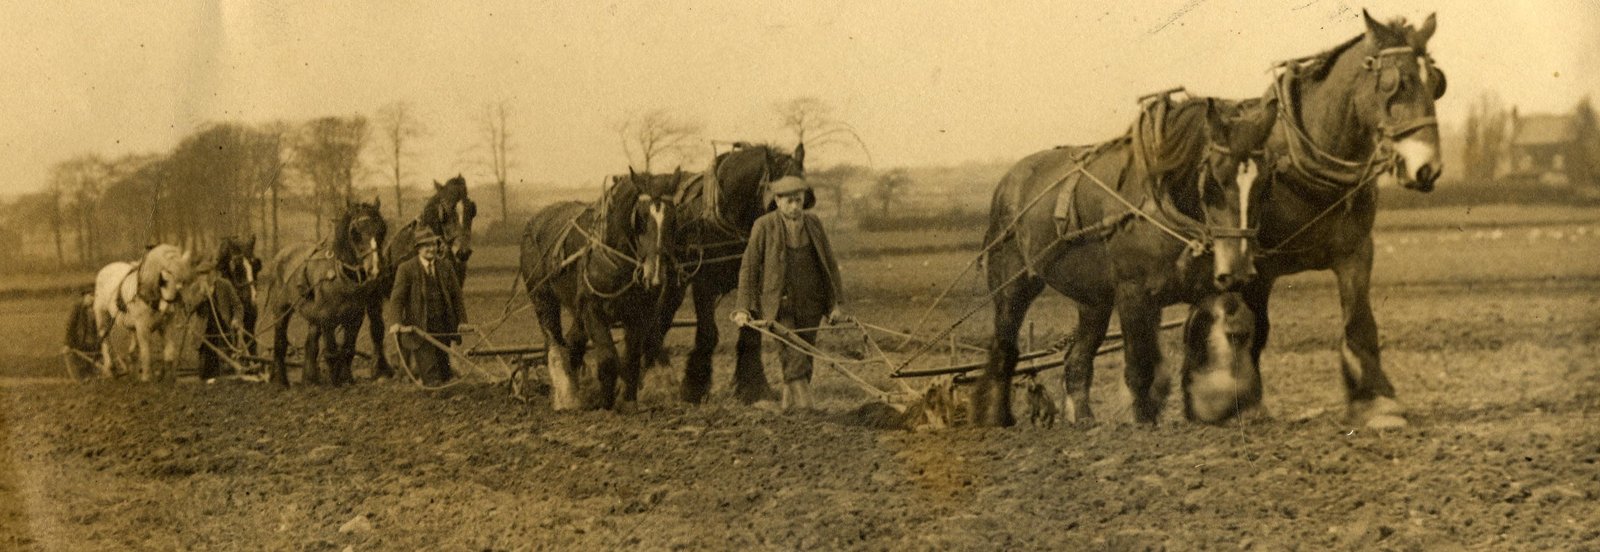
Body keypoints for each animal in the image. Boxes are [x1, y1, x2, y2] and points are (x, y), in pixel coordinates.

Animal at [267, 200, 392, 385]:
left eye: (382, 229)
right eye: (354, 233)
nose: (375, 269)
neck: (342, 277)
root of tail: (281, 253)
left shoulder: (355, 317)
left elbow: (348, 349)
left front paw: (347, 379)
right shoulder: (327, 317)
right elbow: (332, 352)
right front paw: (335, 381)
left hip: (313, 314)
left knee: (310, 344)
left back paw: (310, 380)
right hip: (281, 310)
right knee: (280, 343)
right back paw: (281, 381)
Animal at [518, 169, 681, 409]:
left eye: (673, 219)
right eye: (641, 217)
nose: (655, 274)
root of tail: (533, 221)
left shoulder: (639, 314)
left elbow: (631, 358)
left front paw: (628, 400)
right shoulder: (592, 310)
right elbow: (607, 358)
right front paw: (606, 402)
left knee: (573, 342)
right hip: (542, 298)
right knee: (554, 343)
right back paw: (566, 397)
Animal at [649, 140, 800, 400]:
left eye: (806, 198)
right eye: (777, 200)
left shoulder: (751, 278)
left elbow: (751, 330)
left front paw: (753, 385)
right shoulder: (703, 281)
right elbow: (708, 333)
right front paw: (693, 386)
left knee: (663, 314)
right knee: (658, 316)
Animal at [972, 94, 1273, 425]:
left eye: (1265, 183)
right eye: (1215, 182)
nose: (1239, 270)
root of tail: (1009, 181)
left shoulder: (1205, 292)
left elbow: (1216, 341)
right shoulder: (1133, 294)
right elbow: (1140, 367)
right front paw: (1143, 422)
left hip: (1094, 301)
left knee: (1077, 360)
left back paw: (1084, 420)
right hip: (1012, 287)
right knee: (1005, 348)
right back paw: (999, 418)